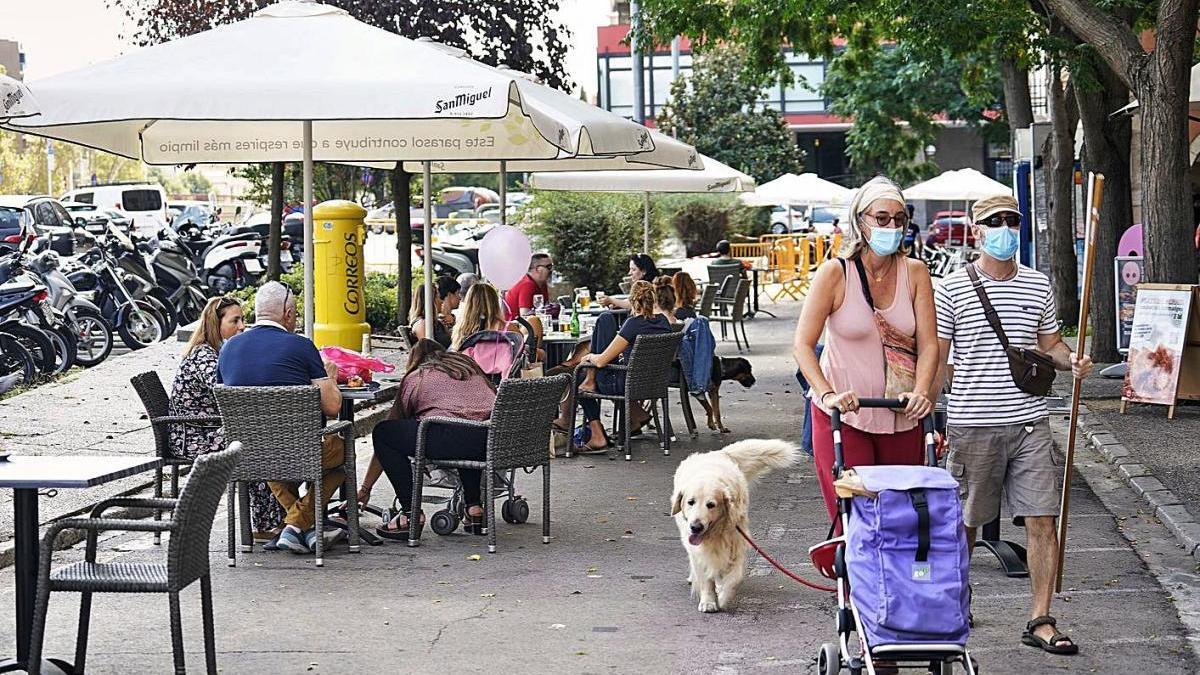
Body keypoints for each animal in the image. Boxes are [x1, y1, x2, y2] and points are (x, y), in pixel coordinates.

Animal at [672, 437, 801, 610]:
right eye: (690, 502)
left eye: (711, 504)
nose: (696, 527)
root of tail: (717, 452)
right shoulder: (697, 549)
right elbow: (705, 578)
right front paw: (708, 601)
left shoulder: (737, 542)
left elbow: (735, 577)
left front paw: (723, 596)